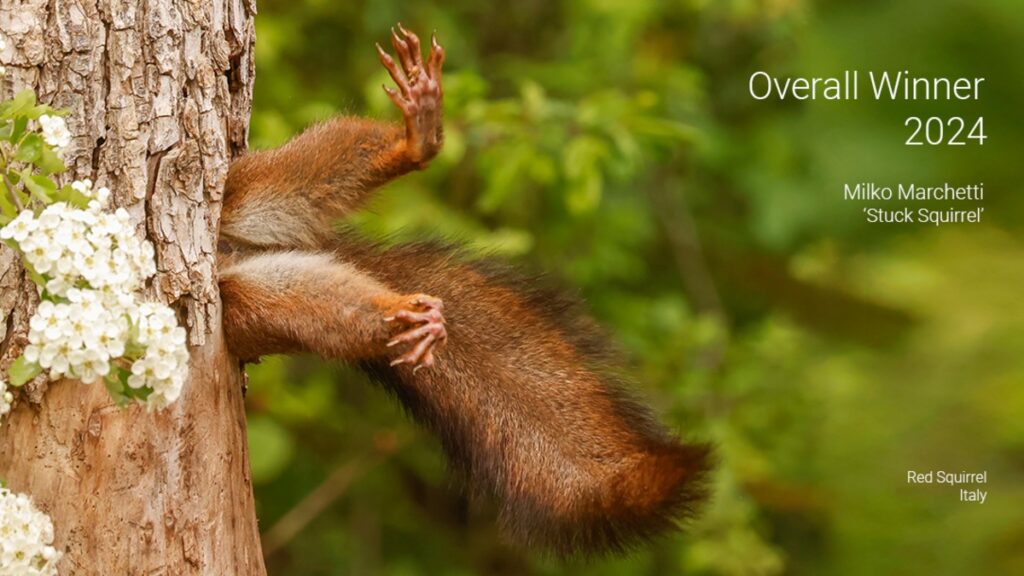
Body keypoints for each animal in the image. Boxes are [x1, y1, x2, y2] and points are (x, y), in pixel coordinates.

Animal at [216, 24, 712, 553]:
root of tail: (232, 253)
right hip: (250, 303)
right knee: (317, 307)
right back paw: (406, 318)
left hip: (244, 189)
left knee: (306, 172)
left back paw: (416, 139)